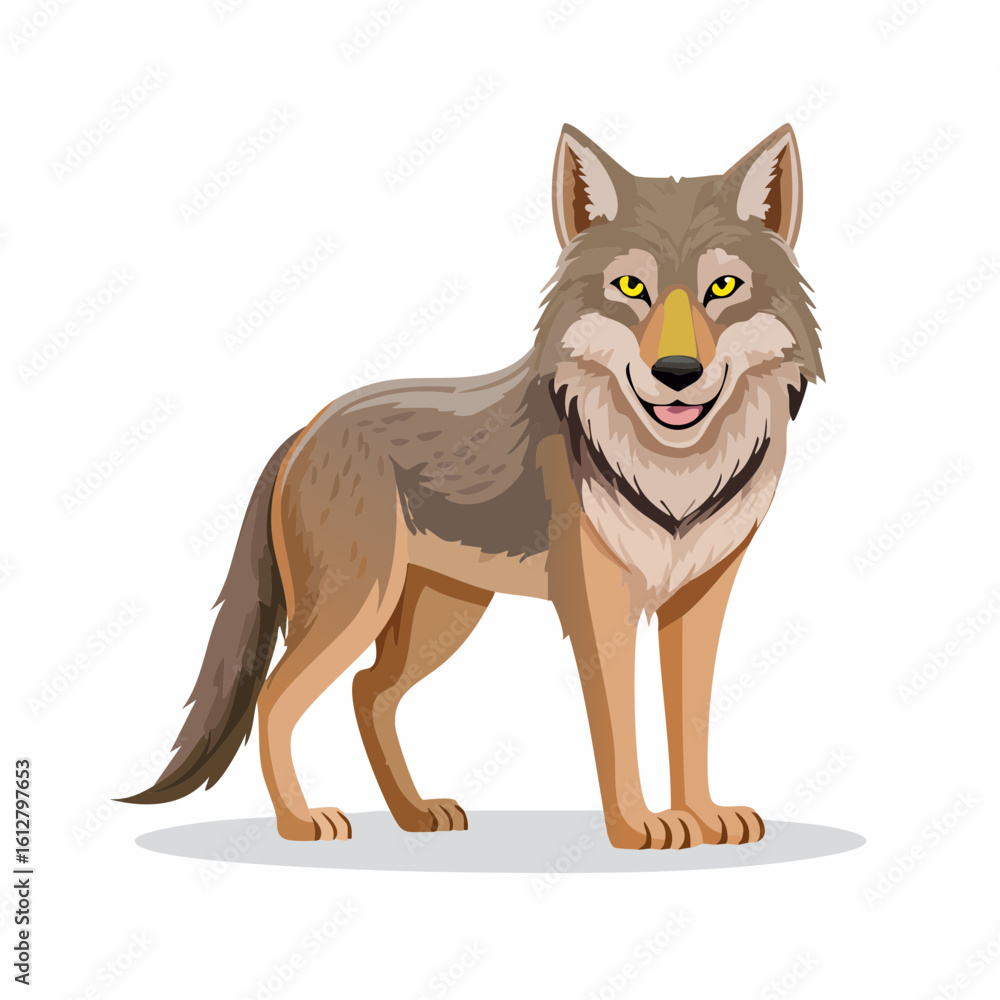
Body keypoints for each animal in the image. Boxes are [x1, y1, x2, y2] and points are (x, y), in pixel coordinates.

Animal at [124, 123, 822, 849]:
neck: (674, 477)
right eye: (631, 287)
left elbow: (691, 720)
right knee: (277, 696)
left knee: (367, 691)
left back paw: (414, 814)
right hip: (358, 607)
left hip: (444, 615)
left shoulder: (699, 601)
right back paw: (300, 820)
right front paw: (638, 826)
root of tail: (306, 430)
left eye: (723, 287)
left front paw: (705, 818)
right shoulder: (600, 609)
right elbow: (619, 730)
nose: (678, 372)